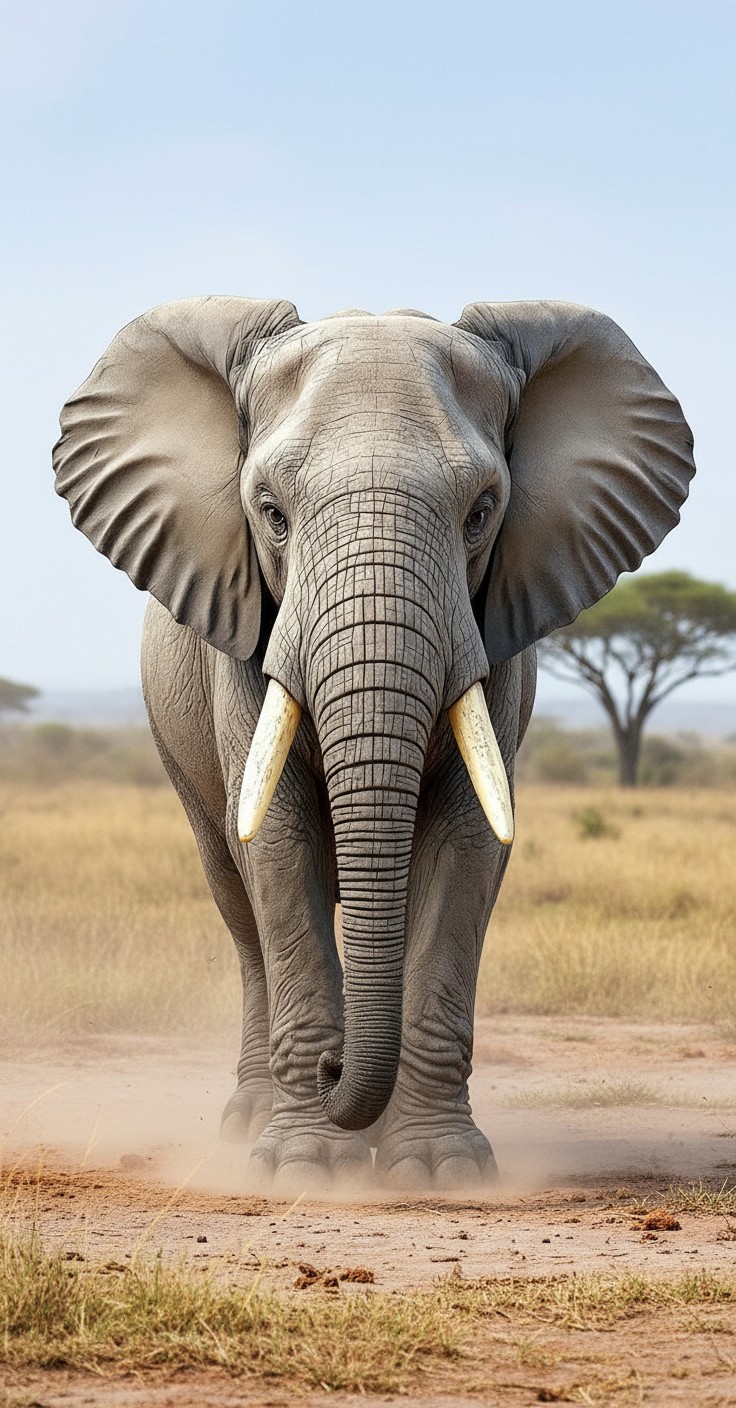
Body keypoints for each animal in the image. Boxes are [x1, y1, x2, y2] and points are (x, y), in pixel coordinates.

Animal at [53, 297, 695, 1192]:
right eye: (270, 513)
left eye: (482, 512)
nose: (334, 1076)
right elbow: (277, 843)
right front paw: (305, 1167)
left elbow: (467, 842)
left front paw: (436, 1168)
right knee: (236, 897)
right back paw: (249, 1121)